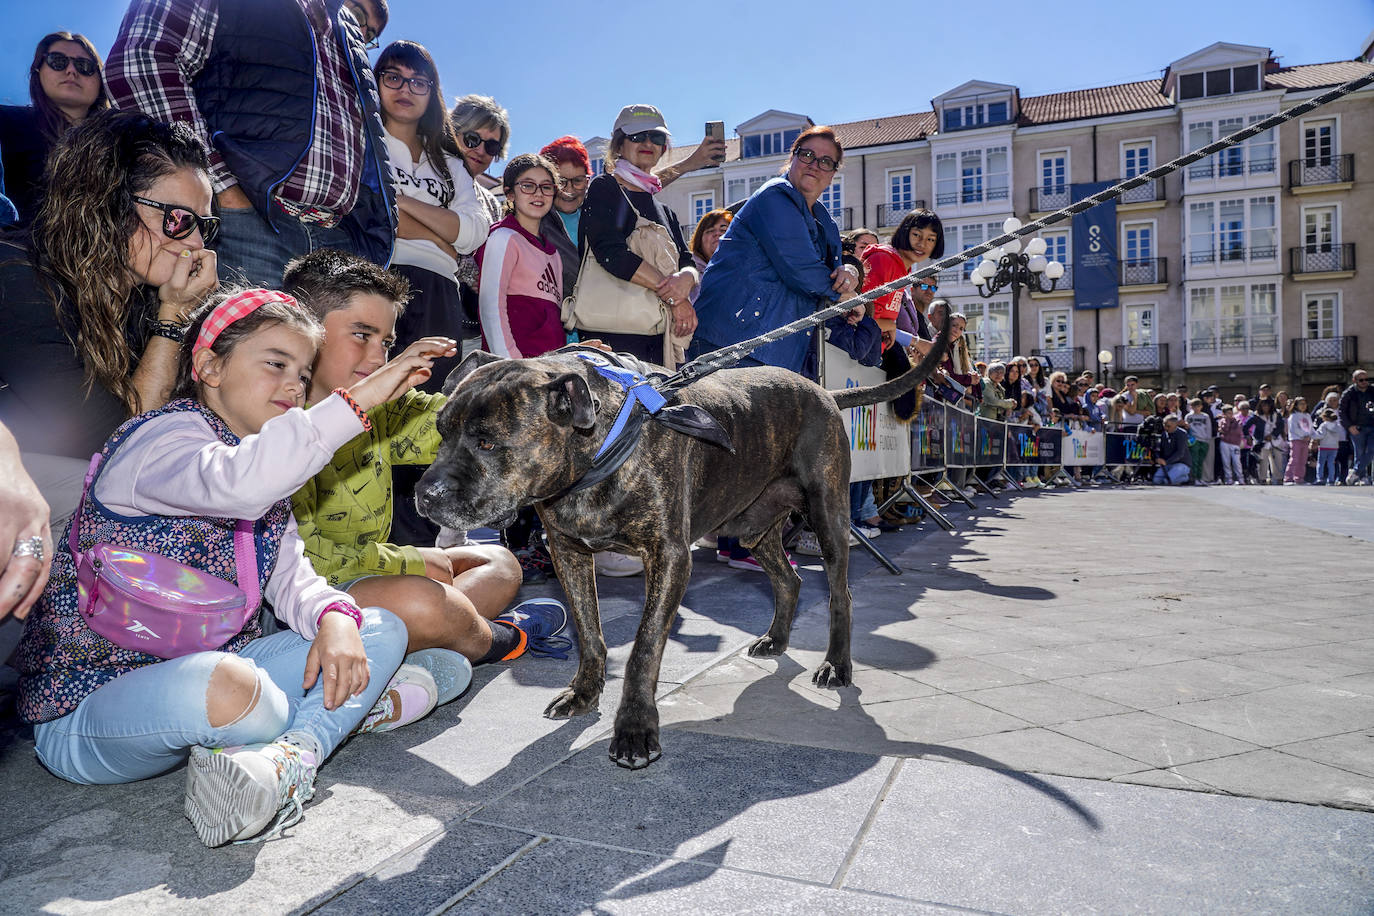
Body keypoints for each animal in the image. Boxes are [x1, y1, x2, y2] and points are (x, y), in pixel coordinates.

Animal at [417, 322, 950, 769]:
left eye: (488, 443)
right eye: (440, 430)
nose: (424, 495)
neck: (598, 450)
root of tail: (822, 389)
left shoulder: (669, 557)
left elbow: (644, 646)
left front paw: (635, 729)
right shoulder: (568, 553)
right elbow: (590, 634)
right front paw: (585, 694)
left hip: (828, 516)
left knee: (840, 594)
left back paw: (836, 666)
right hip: (753, 526)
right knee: (790, 579)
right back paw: (776, 639)